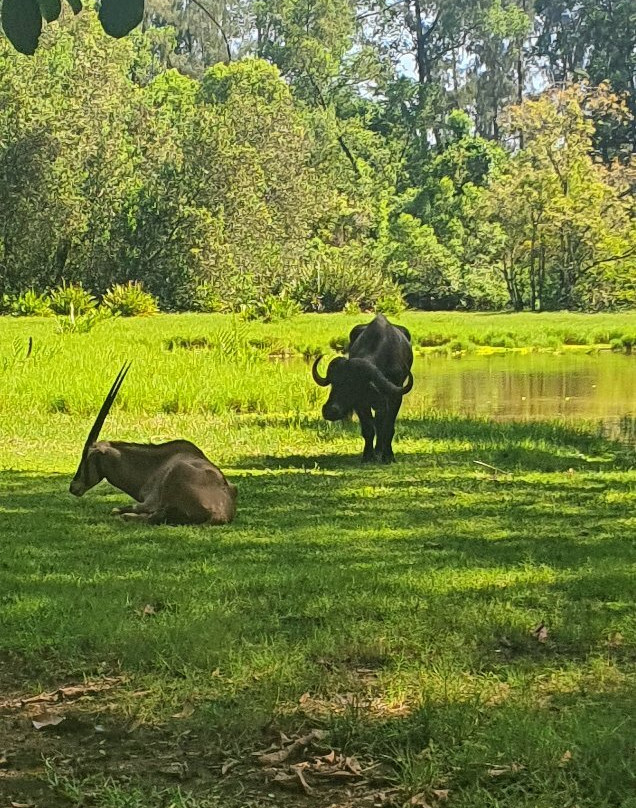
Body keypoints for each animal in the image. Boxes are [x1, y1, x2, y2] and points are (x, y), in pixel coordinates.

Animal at [69, 362, 237, 528]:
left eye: (86, 457)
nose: (73, 487)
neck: (153, 465)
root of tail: (219, 514)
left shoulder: (149, 501)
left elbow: (118, 509)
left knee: (150, 517)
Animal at [312, 316, 412, 468]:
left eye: (354, 384)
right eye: (333, 383)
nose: (330, 411)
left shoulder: (394, 398)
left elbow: (387, 427)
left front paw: (388, 456)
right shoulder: (361, 404)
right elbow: (369, 429)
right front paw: (367, 456)